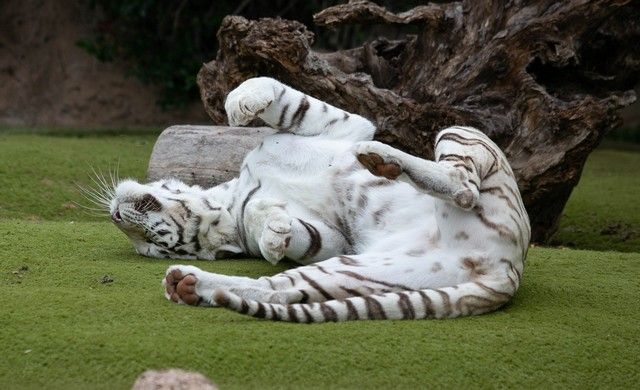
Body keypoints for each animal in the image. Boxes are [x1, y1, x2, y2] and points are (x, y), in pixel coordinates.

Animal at [110, 77, 528, 322]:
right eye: (153, 246)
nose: (115, 215)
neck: (233, 193)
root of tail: (505, 271)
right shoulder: (335, 242)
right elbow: (293, 230)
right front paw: (273, 229)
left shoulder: (344, 127)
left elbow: (286, 96)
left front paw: (241, 104)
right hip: (356, 270)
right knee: (283, 288)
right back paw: (186, 284)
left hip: (463, 132)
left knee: (462, 183)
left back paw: (379, 158)